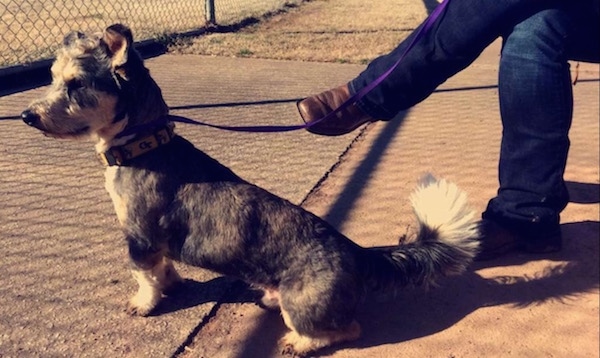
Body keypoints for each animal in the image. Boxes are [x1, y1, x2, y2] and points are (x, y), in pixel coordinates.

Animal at [23, 24, 480, 356]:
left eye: (76, 83)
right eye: (52, 79)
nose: (28, 115)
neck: (144, 145)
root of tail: (356, 252)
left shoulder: (139, 236)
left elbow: (144, 277)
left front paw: (145, 303)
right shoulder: (154, 243)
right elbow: (163, 271)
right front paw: (171, 284)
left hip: (304, 307)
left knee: (345, 329)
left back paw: (298, 343)